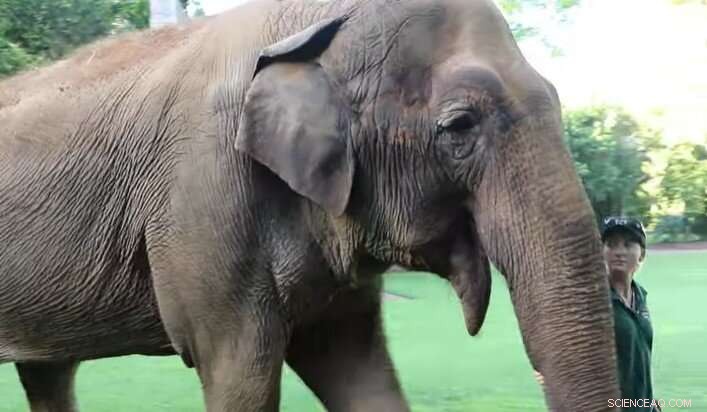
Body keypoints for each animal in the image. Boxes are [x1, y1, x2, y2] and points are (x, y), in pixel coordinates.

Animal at [0, 0, 621, 410]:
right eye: (461, 126)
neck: (316, 25)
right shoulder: (202, 194)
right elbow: (238, 372)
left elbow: (355, 365)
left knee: (48, 373)